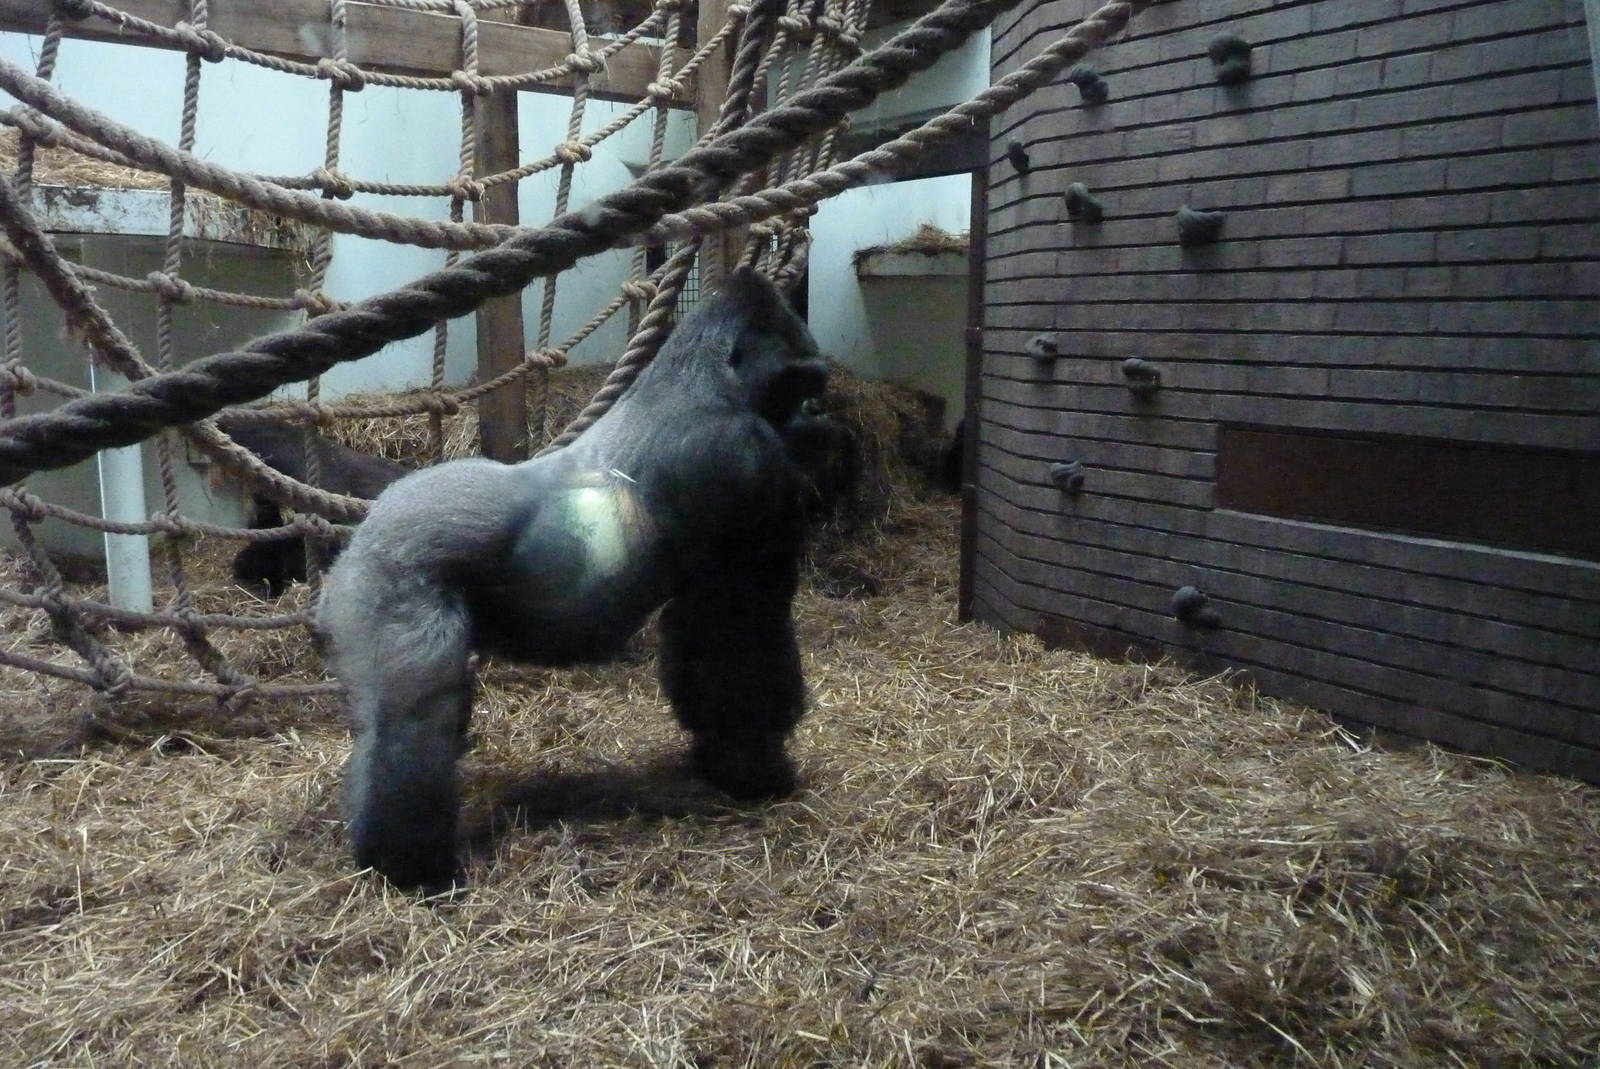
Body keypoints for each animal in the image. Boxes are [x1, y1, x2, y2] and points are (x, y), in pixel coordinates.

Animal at [316, 267, 830, 890]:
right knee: (415, 716)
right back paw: (411, 865)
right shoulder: (743, 461)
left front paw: (725, 759)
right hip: (391, 580)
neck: (699, 379)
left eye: (816, 381)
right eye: (797, 380)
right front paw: (755, 765)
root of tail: (361, 537)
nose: (818, 413)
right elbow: (737, 629)